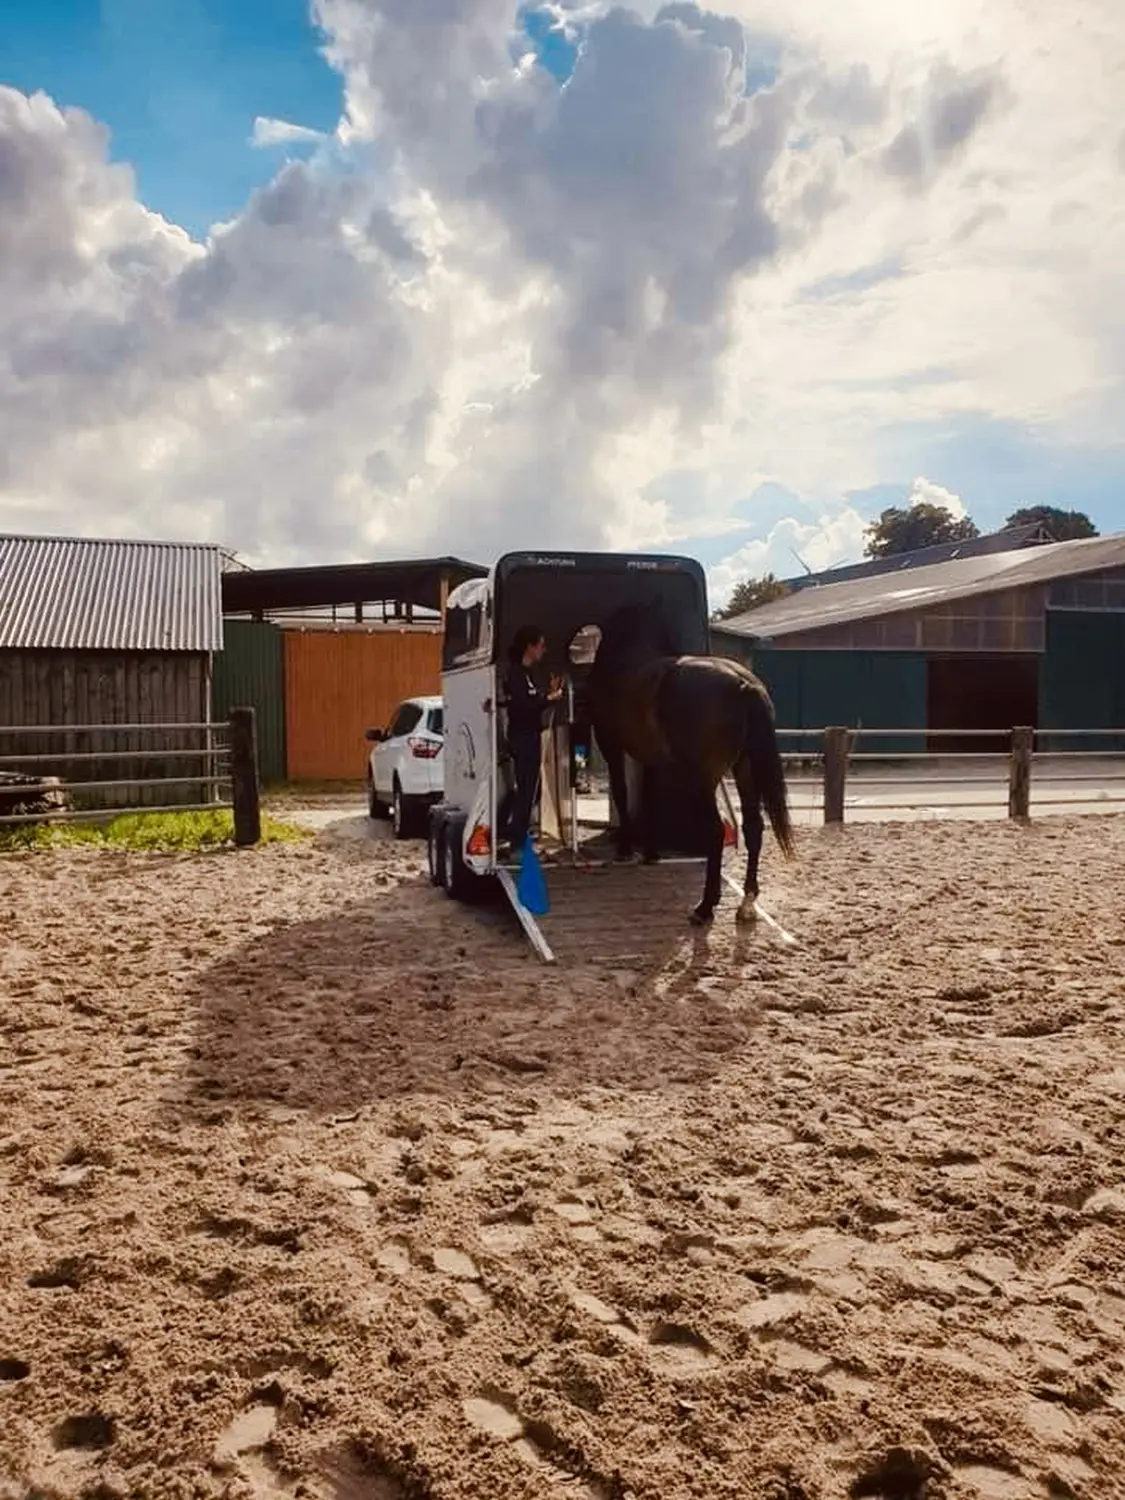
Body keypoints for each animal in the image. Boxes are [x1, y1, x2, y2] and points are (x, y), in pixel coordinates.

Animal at [585, 600, 798, 924]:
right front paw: (650, 853)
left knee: (716, 831)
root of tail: (743, 685)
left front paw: (625, 849)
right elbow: (648, 798)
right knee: (753, 827)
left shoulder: (611, 743)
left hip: (704, 779)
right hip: (745, 768)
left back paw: (705, 907)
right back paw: (746, 903)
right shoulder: (651, 757)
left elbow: (622, 791)